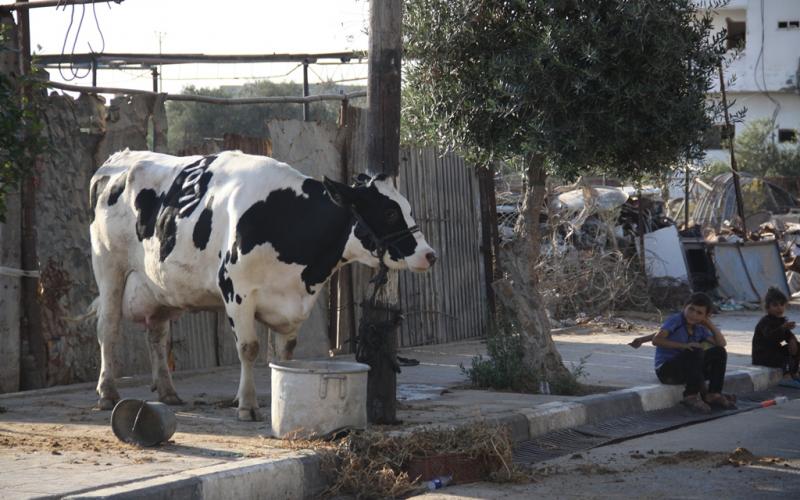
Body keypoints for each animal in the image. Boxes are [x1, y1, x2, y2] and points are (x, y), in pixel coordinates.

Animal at [90, 149, 434, 422]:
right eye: (389, 212)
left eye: (406, 207)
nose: (429, 254)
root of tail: (117, 159)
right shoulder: (236, 290)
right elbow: (249, 348)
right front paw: (247, 405)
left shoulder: (292, 303)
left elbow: (285, 356)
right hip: (109, 268)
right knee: (108, 328)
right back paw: (107, 392)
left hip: (159, 288)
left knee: (157, 335)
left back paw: (167, 392)